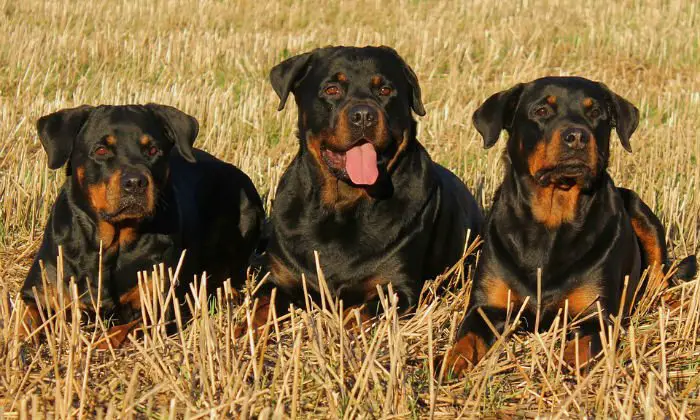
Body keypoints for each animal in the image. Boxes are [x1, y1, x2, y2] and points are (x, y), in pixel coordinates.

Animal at [21, 103, 264, 346]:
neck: (110, 243)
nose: (135, 182)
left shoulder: (158, 306)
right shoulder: (39, 291)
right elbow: (25, 319)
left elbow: (120, 331)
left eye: (153, 150)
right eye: (101, 150)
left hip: (247, 210)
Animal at [241, 46, 482, 332]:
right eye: (332, 89)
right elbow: (258, 306)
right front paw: (242, 332)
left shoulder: (396, 288)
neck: (342, 205)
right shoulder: (279, 276)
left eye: (385, 90)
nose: (364, 115)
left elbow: (357, 313)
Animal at [442, 77, 696, 376]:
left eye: (595, 111)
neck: (552, 219)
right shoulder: (486, 307)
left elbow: (581, 348)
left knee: (660, 280)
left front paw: (564, 370)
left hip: (640, 212)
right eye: (541, 111)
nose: (577, 136)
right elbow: (465, 340)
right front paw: (448, 364)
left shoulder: (595, 315)